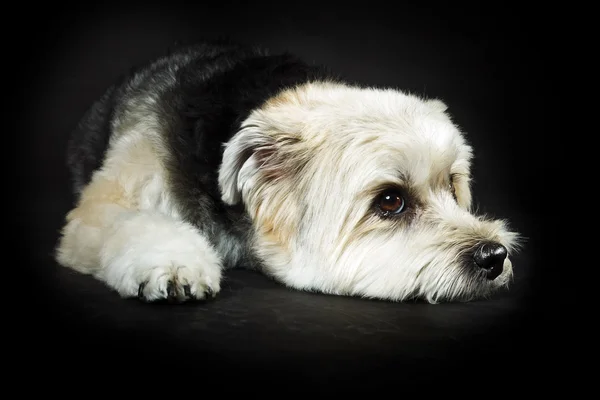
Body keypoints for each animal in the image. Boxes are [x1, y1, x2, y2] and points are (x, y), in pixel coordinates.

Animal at [55, 39, 520, 304]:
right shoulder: (102, 207)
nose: (493, 256)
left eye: (452, 187)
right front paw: (173, 264)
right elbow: (130, 220)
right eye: (390, 201)